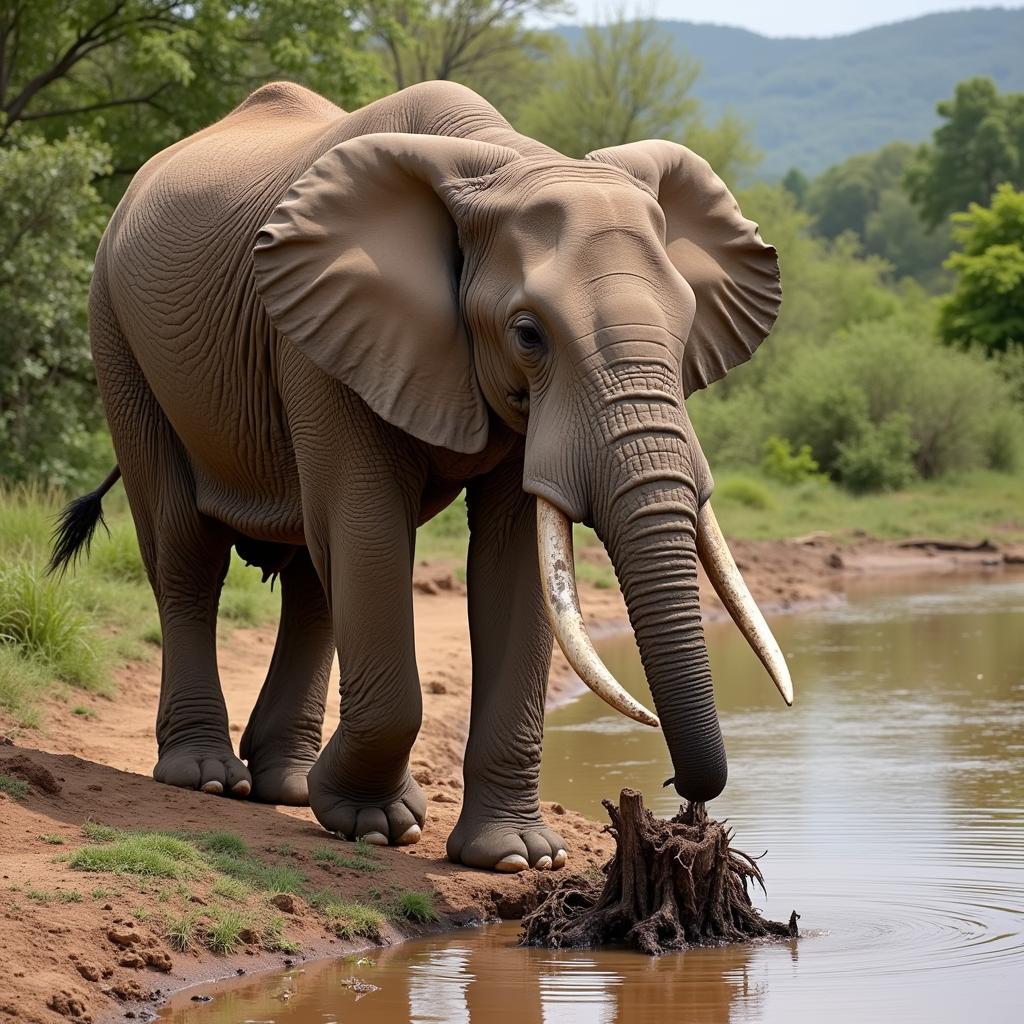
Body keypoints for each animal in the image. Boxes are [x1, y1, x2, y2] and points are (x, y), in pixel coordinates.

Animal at [49, 81, 790, 872]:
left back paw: (284, 785)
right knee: (188, 550)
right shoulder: (318, 339)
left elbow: (511, 560)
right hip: (117, 338)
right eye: (529, 334)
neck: (502, 160)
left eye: (685, 331)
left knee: (312, 576)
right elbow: (369, 527)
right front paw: (376, 824)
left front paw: (516, 857)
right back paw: (209, 778)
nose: (681, 793)